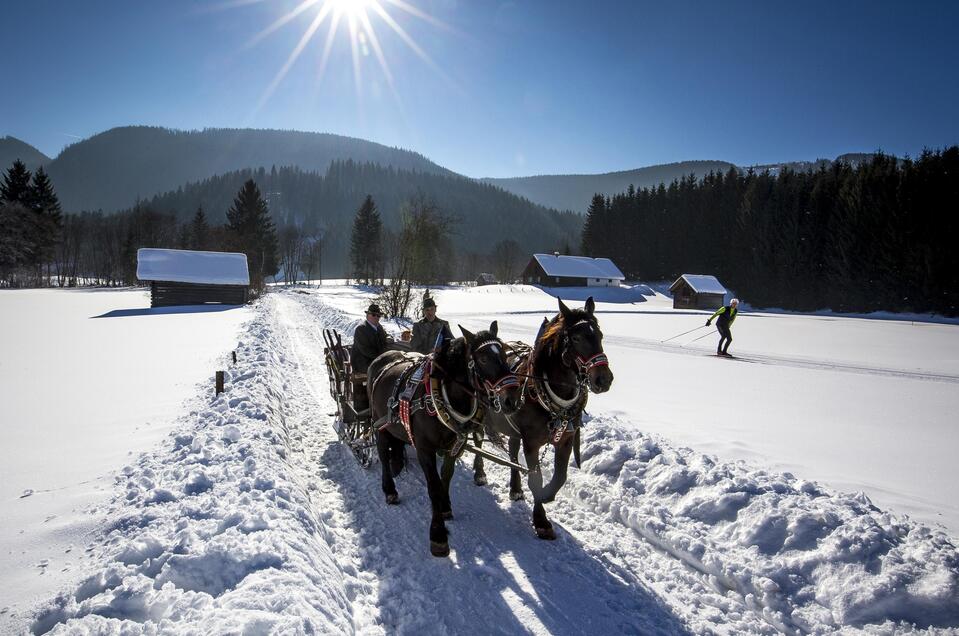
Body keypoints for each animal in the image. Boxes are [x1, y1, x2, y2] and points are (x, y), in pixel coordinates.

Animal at [368, 322, 520, 556]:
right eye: (483, 359)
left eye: (504, 353)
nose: (512, 400)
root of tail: (382, 358)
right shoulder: (425, 449)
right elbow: (433, 486)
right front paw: (438, 534)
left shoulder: (455, 445)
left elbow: (446, 477)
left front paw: (446, 507)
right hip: (379, 425)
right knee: (384, 454)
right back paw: (390, 490)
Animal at [474, 298, 616, 540]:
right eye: (576, 338)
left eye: (600, 335)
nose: (603, 379)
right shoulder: (531, 442)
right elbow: (536, 478)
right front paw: (541, 520)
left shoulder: (566, 439)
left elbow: (560, 476)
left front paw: (547, 495)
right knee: (476, 442)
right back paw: (480, 473)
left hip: (513, 430)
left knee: (513, 452)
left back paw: (515, 489)